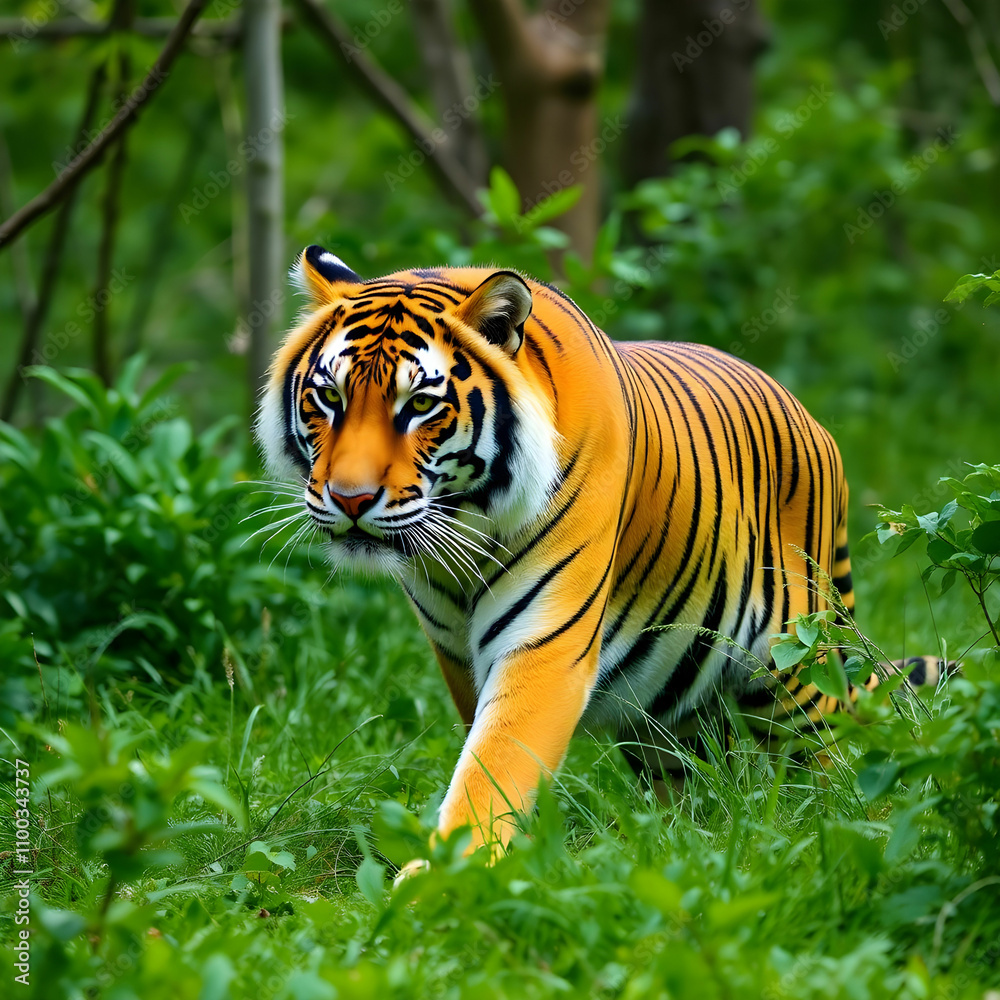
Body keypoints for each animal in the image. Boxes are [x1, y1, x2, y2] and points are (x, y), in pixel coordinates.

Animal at [257, 245, 949, 866]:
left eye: (420, 405)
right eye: (328, 399)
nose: (350, 498)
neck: (461, 532)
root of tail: (815, 422)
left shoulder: (544, 642)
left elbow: (493, 767)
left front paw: (437, 882)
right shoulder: (455, 655)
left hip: (792, 669)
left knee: (831, 753)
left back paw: (843, 825)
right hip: (672, 705)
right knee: (695, 781)